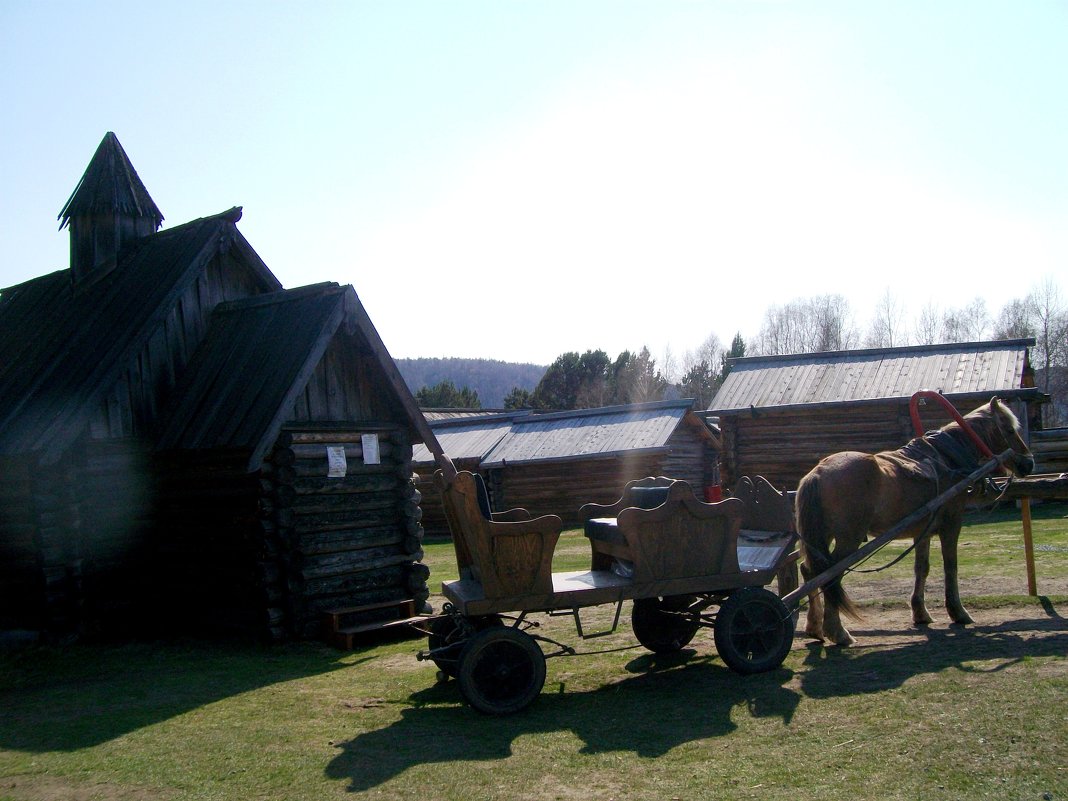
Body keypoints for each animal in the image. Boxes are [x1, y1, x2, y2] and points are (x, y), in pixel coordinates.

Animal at [794, 399, 1033, 649]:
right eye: (1009, 429)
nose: (1029, 463)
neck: (947, 460)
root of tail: (819, 472)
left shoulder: (922, 531)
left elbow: (922, 568)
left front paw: (921, 613)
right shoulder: (952, 524)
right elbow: (951, 566)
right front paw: (958, 612)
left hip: (821, 537)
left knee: (810, 571)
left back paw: (815, 628)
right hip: (848, 539)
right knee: (831, 576)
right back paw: (838, 632)